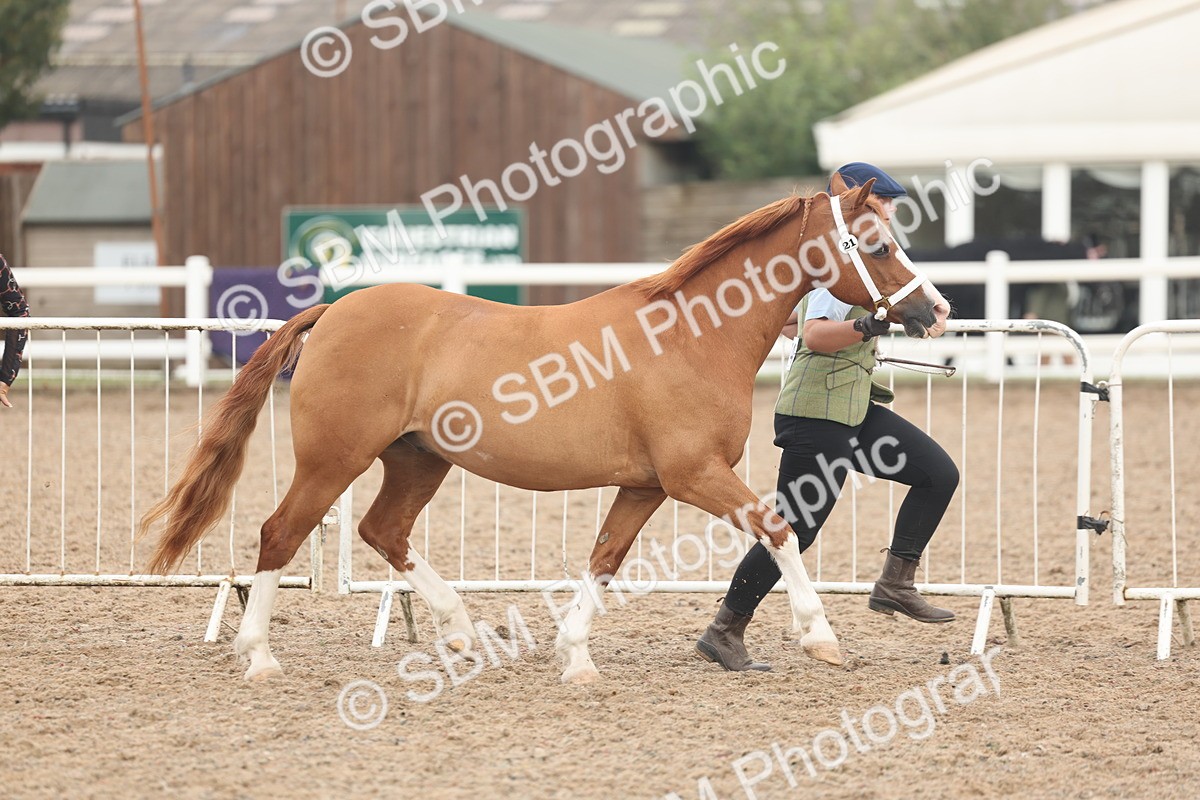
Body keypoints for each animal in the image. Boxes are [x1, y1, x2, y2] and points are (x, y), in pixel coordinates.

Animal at [140, 173, 949, 684]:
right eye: (879, 246)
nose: (934, 311)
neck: (690, 336)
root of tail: (334, 310)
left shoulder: (646, 486)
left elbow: (604, 559)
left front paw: (576, 657)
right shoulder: (694, 475)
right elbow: (778, 530)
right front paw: (823, 638)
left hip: (418, 460)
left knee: (383, 530)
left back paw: (463, 631)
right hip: (332, 459)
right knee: (281, 533)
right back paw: (258, 655)